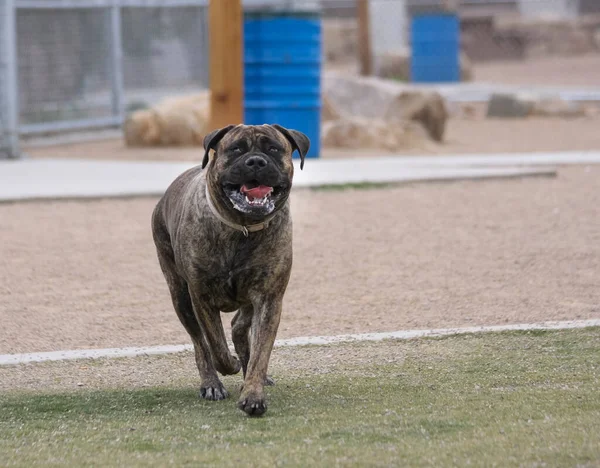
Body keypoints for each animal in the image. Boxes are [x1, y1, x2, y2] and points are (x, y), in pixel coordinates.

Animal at [151, 124, 310, 416]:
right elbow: (215, 346)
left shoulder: (269, 298)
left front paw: (253, 394)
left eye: (273, 149)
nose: (256, 161)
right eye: (236, 149)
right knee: (200, 344)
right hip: (180, 296)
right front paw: (231, 366)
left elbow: (260, 351)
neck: (242, 228)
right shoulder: (201, 298)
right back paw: (212, 383)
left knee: (238, 327)